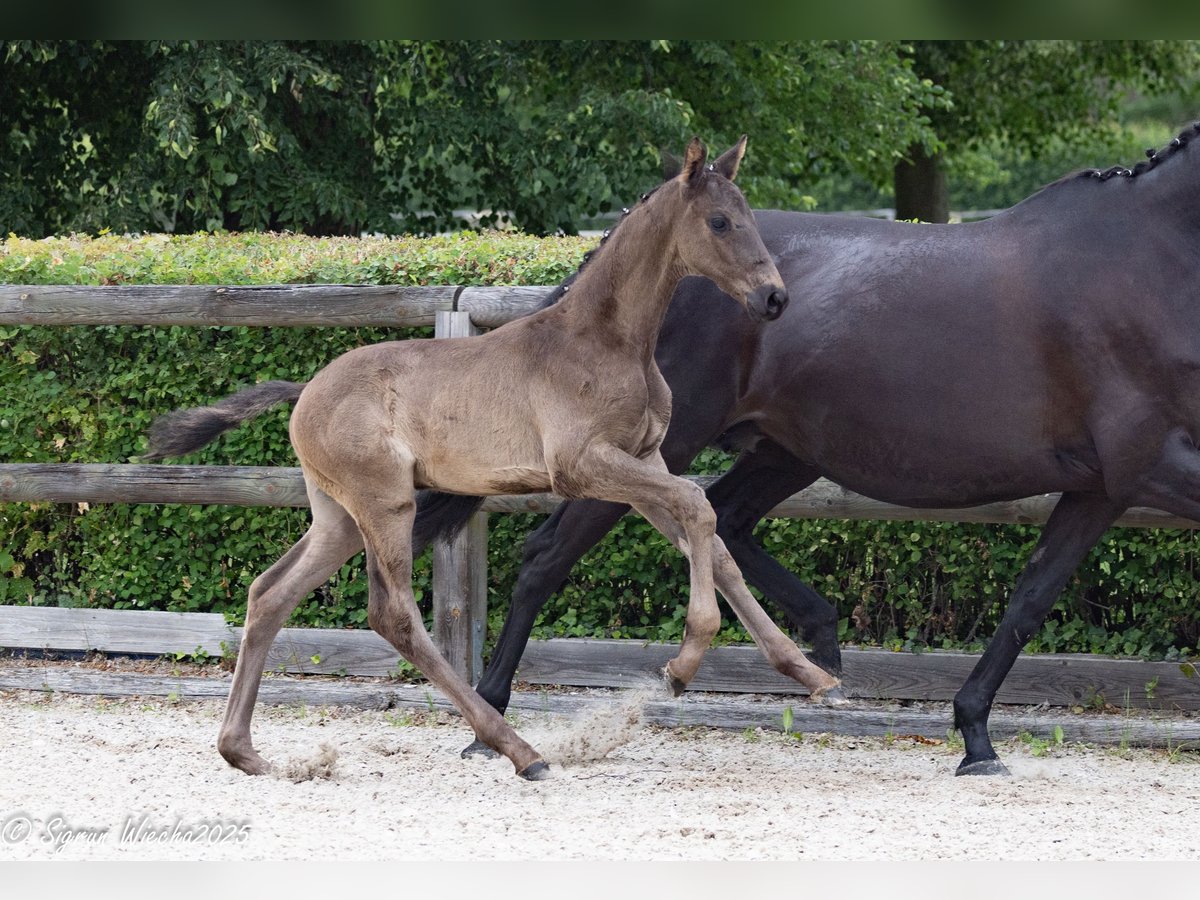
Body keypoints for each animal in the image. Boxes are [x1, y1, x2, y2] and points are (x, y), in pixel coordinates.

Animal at [142, 136, 843, 780]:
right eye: (719, 221)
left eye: (748, 215)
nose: (774, 298)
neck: (606, 340)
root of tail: (306, 392)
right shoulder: (583, 464)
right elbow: (700, 508)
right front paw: (682, 663)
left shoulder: (647, 461)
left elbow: (713, 544)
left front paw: (810, 675)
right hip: (385, 503)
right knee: (392, 614)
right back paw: (519, 750)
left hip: (338, 516)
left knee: (270, 593)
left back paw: (244, 752)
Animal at [419, 123, 1200, 776]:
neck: (1151, 262)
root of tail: (600, 283)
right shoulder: (1148, 464)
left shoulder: (1102, 484)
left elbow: (1031, 597)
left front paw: (976, 736)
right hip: (661, 446)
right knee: (550, 556)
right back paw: (492, 723)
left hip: (784, 451)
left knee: (723, 520)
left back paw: (819, 650)